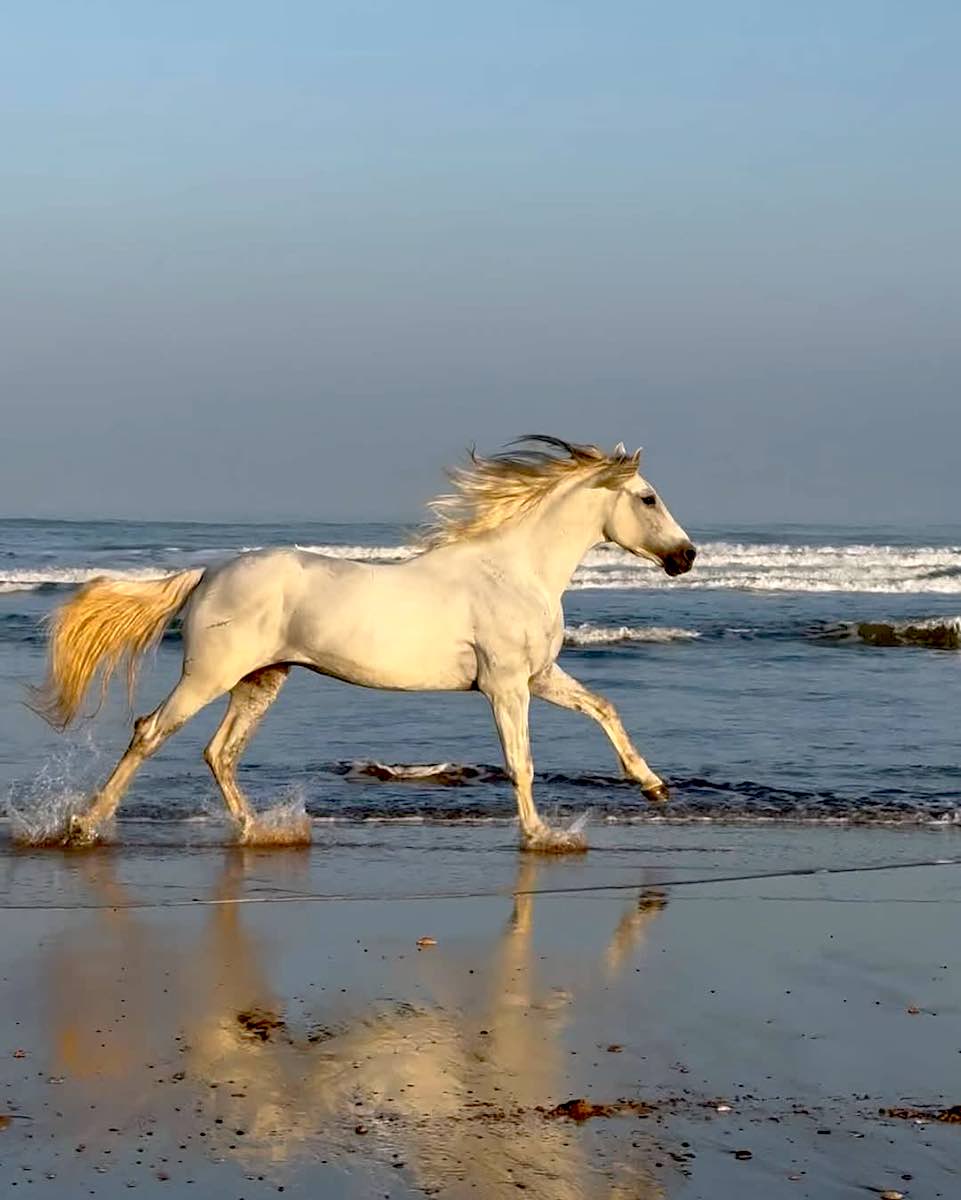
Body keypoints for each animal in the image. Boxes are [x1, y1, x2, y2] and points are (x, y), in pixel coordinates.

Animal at [30, 436, 696, 849]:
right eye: (648, 497)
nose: (686, 557)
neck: (514, 570)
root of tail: (210, 572)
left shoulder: (539, 677)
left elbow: (604, 708)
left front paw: (654, 786)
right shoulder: (506, 685)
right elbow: (521, 762)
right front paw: (541, 837)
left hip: (261, 679)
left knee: (220, 753)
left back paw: (260, 832)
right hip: (209, 674)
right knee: (151, 733)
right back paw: (84, 826)